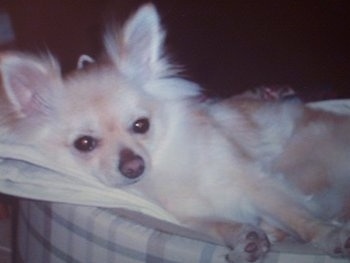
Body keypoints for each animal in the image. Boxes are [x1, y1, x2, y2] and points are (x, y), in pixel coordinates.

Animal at [0, 3, 350, 262]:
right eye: (84, 144)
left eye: (141, 125)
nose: (134, 166)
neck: (163, 166)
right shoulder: (184, 217)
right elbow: (214, 224)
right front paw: (243, 236)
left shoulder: (256, 181)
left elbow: (295, 212)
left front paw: (327, 235)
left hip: (302, 163)